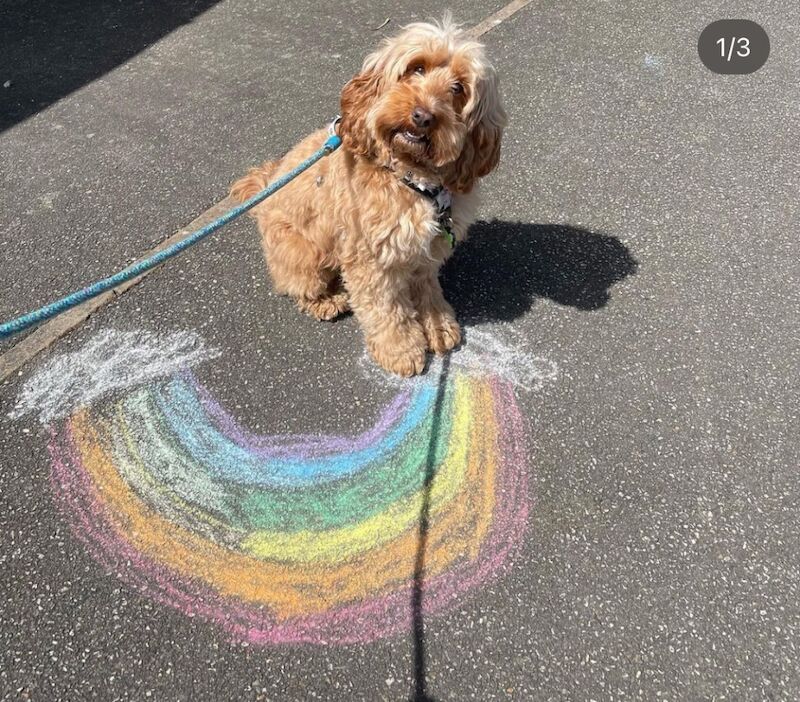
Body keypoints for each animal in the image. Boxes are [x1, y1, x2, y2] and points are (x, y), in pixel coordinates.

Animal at [231, 16, 506, 376]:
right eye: (416, 68)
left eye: (458, 87)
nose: (423, 116)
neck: (412, 179)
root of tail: (265, 189)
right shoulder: (371, 259)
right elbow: (386, 308)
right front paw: (400, 349)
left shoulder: (426, 252)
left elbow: (426, 288)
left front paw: (437, 324)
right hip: (301, 252)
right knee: (297, 285)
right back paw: (327, 301)